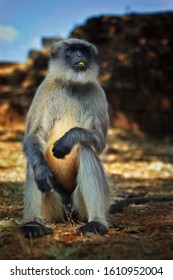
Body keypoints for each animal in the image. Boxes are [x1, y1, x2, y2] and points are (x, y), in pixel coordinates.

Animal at [20, 37, 109, 238]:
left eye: (84, 50)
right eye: (72, 50)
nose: (80, 55)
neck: (72, 84)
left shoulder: (97, 91)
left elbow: (100, 141)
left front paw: (68, 139)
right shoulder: (45, 89)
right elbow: (34, 135)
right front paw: (41, 170)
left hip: (80, 207)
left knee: (85, 149)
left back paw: (96, 222)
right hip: (54, 207)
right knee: (33, 161)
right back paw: (32, 224)